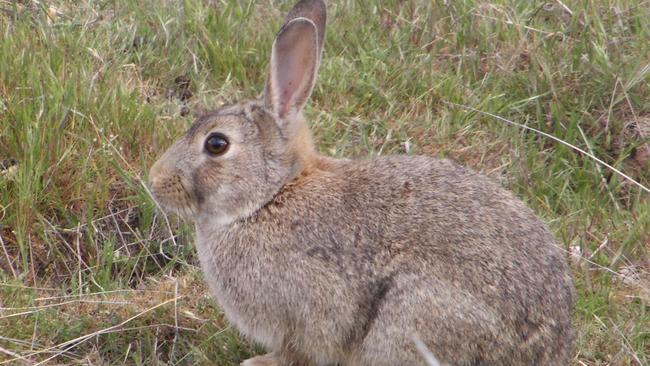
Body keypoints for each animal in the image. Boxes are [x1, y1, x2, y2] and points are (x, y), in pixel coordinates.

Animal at [149, 0, 576, 366]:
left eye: (216, 144)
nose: (154, 180)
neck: (270, 197)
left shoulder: (311, 306)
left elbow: (300, 349)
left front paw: (258, 362)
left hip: (413, 317)